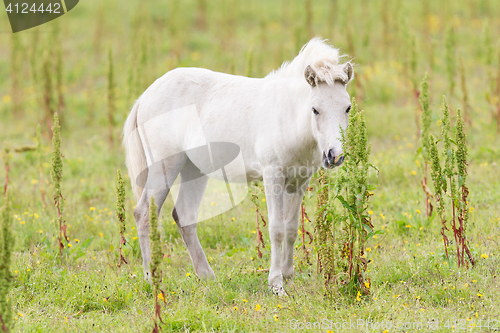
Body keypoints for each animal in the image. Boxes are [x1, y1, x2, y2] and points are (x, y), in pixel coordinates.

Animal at [123, 37, 354, 294]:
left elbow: (292, 229)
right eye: (315, 109)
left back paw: (207, 277)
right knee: (144, 214)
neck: (288, 116)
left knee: (184, 216)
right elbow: (276, 229)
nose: (334, 156)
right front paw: (277, 284)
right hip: (165, 165)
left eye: (347, 108)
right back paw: (152, 280)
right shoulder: (273, 176)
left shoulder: (300, 181)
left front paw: (289, 276)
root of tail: (145, 97)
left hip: (194, 169)